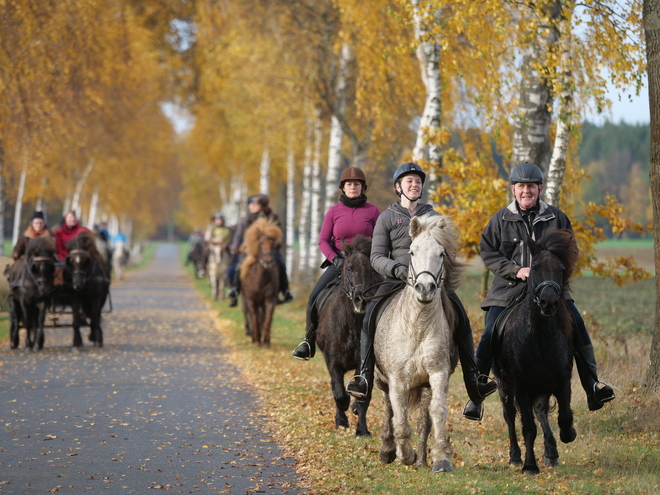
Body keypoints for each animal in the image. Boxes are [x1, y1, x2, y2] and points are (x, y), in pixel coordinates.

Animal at [240, 217, 282, 348]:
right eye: (260, 243)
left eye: (274, 245)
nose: (267, 261)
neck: (260, 279)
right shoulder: (251, 300)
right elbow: (254, 319)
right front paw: (257, 340)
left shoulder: (270, 300)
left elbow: (267, 320)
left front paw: (266, 342)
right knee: (249, 314)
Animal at [316, 238, 382, 436]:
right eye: (349, 267)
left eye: (371, 269)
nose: (361, 300)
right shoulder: (332, 360)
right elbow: (339, 393)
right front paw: (341, 421)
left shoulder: (364, 362)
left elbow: (362, 396)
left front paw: (362, 429)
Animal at [374, 215, 462, 474]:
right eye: (412, 251)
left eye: (441, 254)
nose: (425, 288)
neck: (418, 325)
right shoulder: (397, 379)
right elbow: (400, 419)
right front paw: (405, 455)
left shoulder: (438, 373)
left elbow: (437, 412)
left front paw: (441, 458)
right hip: (381, 380)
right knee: (389, 410)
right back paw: (387, 449)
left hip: (424, 386)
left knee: (424, 420)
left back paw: (422, 459)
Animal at [492, 230, 580, 476]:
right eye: (535, 266)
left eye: (561, 268)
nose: (548, 303)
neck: (540, 337)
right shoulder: (521, 386)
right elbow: (528, 427)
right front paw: (530, 465)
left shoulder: (562, 380)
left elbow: (564, 416)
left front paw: (567, 435)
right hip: (505, 386)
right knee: (510, 416)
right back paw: (515, 456)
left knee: (541, 411)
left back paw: (551, 452)